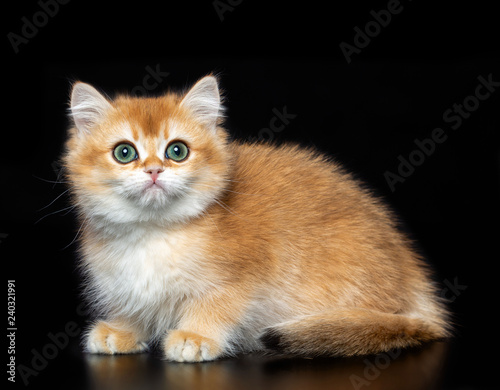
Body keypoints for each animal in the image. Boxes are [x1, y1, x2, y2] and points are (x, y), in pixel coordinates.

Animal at [61, 74, 450, 362]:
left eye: (177, 150)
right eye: (124, 153)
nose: (154, 170)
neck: (154, 232)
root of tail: (415, 280)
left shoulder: (240, 280)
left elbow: (216, 305)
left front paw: (195, 335)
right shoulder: (123, 284)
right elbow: (136, 305)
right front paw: (123, 329)